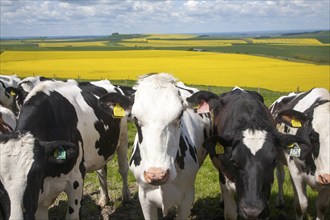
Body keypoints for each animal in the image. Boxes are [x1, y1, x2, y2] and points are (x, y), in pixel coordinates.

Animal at [0, 79, 134, 220]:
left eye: (35, 175)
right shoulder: (41, 198)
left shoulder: (76, 179)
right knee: (101, 172)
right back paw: (103, 199)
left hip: (123, 139)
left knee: (123, 169)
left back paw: (126, 197)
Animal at [270, 87, 328, 218]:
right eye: (312, 136)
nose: (326, 176)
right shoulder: (295, 170)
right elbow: (301, 206)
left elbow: (321, 206)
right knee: (280, 177)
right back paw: (280, 202)